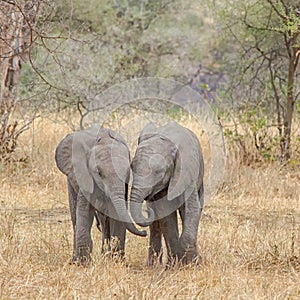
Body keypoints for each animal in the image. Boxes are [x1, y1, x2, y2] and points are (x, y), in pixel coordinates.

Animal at [55, 126, 147, 264]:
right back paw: (75, 260)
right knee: (75, 215)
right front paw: (83, 263)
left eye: (127, 171)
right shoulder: (86, 176)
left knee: (104, 220)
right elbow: (84, 210)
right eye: (99, 173)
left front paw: (117, 262)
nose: (145, 232)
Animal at [129, 120, 204, 266]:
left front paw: (192, 264)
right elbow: (166, 214)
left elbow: (191, 208)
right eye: (131, 167)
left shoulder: (186, 171)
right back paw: (155, 265)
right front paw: (177, 264)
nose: (143, 233)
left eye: (159, 172)